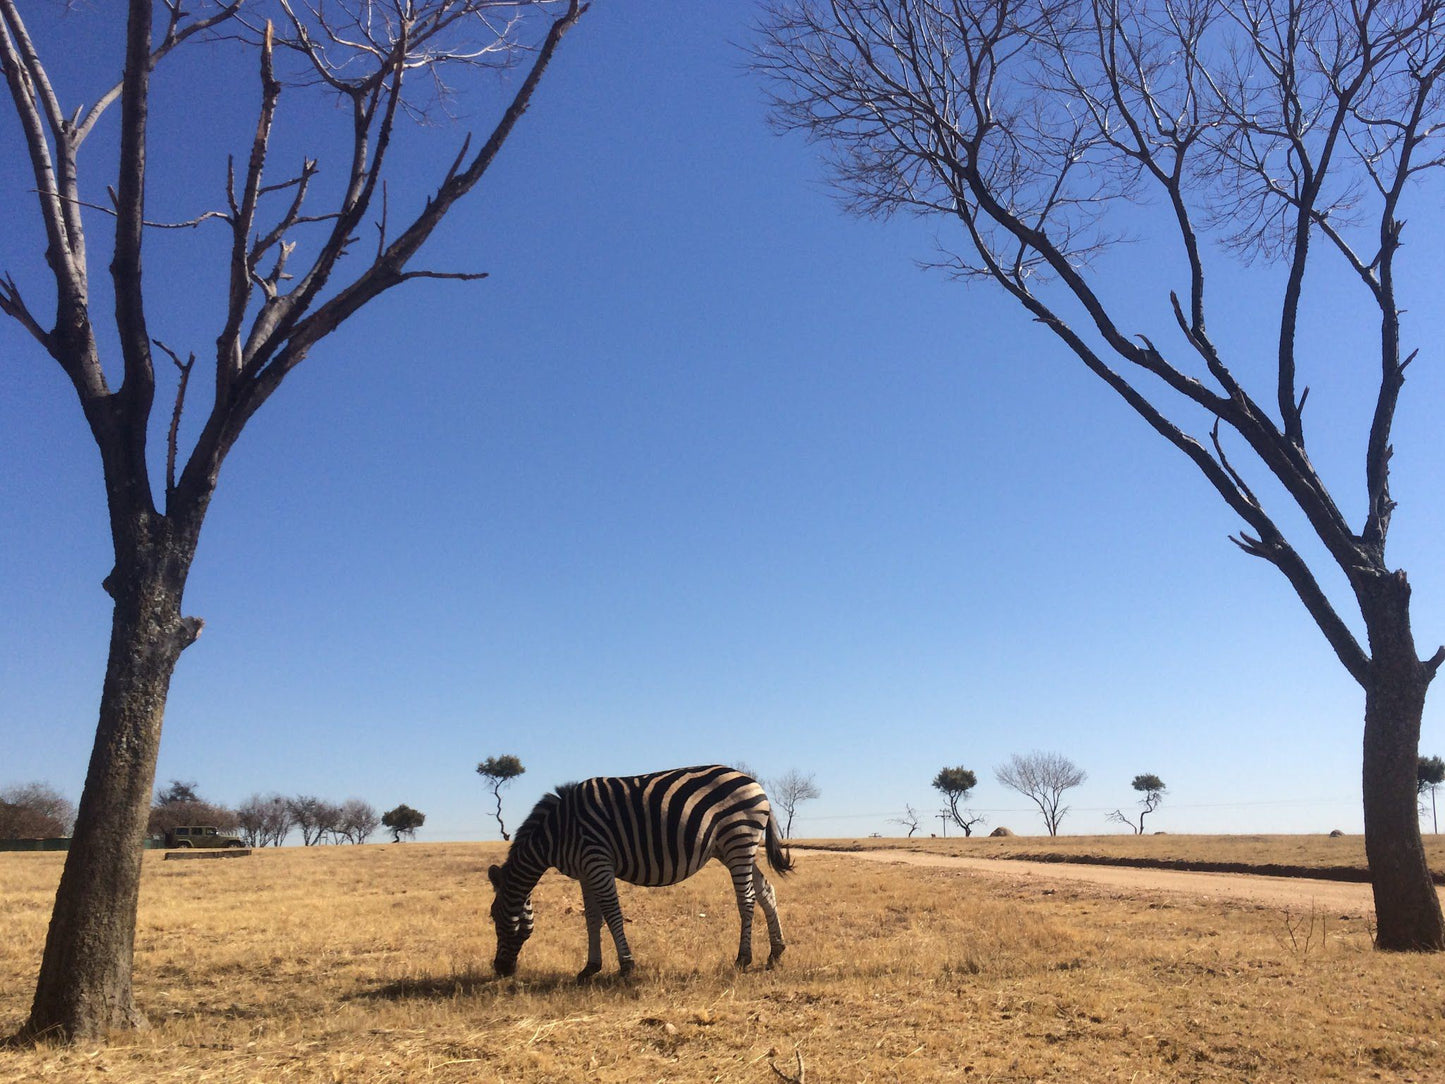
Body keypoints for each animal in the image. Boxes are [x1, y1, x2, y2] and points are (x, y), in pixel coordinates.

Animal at [491, 763, 797, 982]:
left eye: (493, 917)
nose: (499, 969)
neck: (556, 832)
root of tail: (754, 782)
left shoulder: (597, 861)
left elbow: (612, 914)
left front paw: (626, 966)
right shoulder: (585, 872)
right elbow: (592, 919)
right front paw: (590, 967)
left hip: (738, 839)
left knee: (746, 899)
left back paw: (743, 959)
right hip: (732, 848)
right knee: (765, 890)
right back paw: (775, 953)